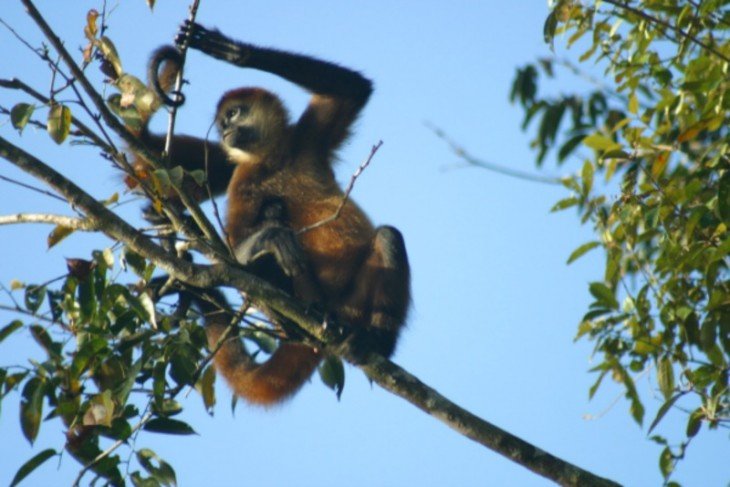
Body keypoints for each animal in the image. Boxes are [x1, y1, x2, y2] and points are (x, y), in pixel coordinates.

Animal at [134, 24, 412, 408]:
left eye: (232, 114)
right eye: (220, 124)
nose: (224, 131)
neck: (270, 159)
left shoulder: (305, 139)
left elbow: (354, 87)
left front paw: (235, 52)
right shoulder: (242, 182)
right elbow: (232, 258)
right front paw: (270, 237)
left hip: (356, 299)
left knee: (387, 236)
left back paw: (372, 340)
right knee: (274, 218)